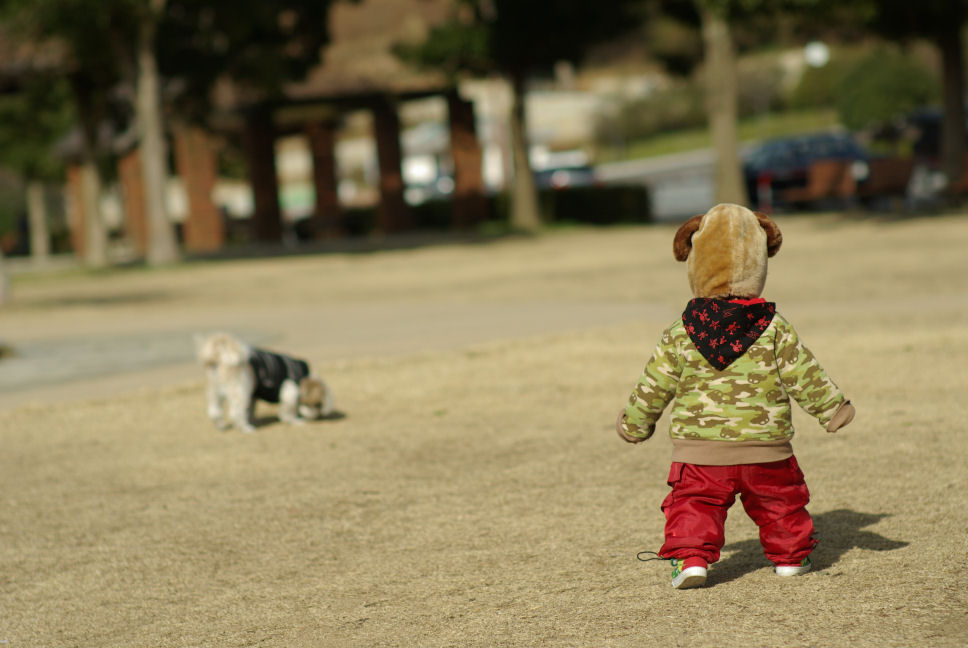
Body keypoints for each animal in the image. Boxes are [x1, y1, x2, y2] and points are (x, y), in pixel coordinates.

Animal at [195, 332, 334, 432]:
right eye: (316, 404)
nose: (315, 416)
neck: (302, 376)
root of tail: (222, 356)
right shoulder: (290, 391)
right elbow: (288, 412)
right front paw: (295, 421)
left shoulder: (253, 395)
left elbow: (251, 409)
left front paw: (253, 419)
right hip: (240, 389)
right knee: (235, 413)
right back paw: (246, 428)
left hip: (215, 391)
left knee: (214, 411)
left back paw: (221, 425)